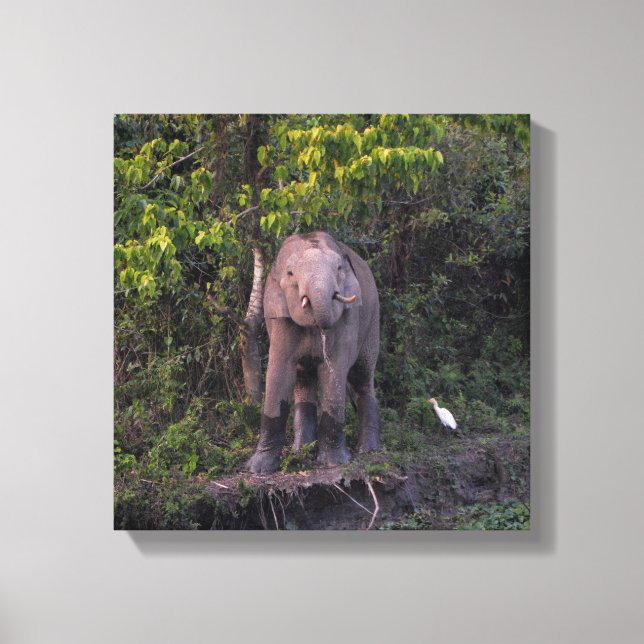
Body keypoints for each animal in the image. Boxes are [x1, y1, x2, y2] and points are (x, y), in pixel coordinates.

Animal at [247, 231, 380, 474]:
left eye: (339, 268)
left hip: (373, 319)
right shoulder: (279, 315)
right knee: (303, 381)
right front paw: (258, 470)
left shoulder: (348, 318)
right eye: (290, 273)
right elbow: (279, 373)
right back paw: (301, 452)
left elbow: (333, 371)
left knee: (361, 376)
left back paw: (368, 450)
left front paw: (333, 463)